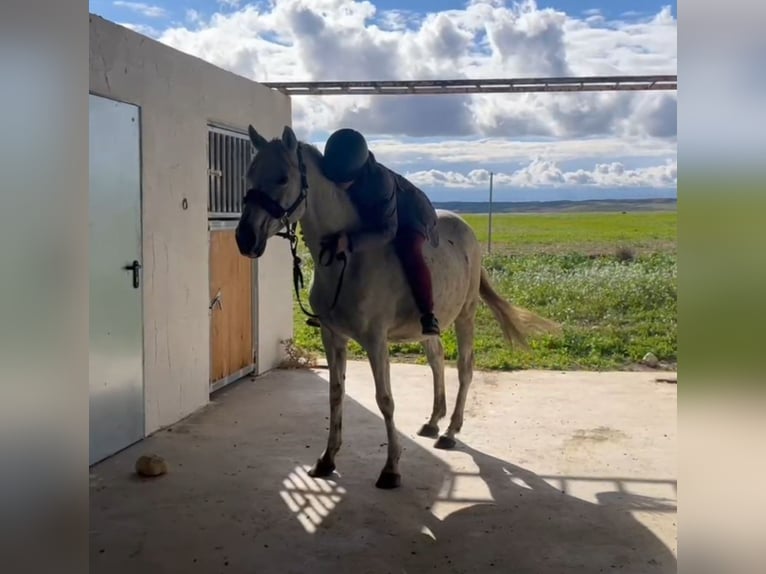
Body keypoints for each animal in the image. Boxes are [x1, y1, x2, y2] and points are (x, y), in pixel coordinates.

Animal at [236, 126, 564, 490]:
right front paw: (327, 458)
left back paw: (451, 430)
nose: (244, 238)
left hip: (465, 316)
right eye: (249, 175)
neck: (347, 259)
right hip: (429, 325)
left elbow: (385, 400)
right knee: (437, 359)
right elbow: (336, 394)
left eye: (282, 177)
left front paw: (391, 468)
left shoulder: (375, 341)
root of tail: (466, 229)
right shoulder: (332, 337)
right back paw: (434, 420)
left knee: (465, 367)